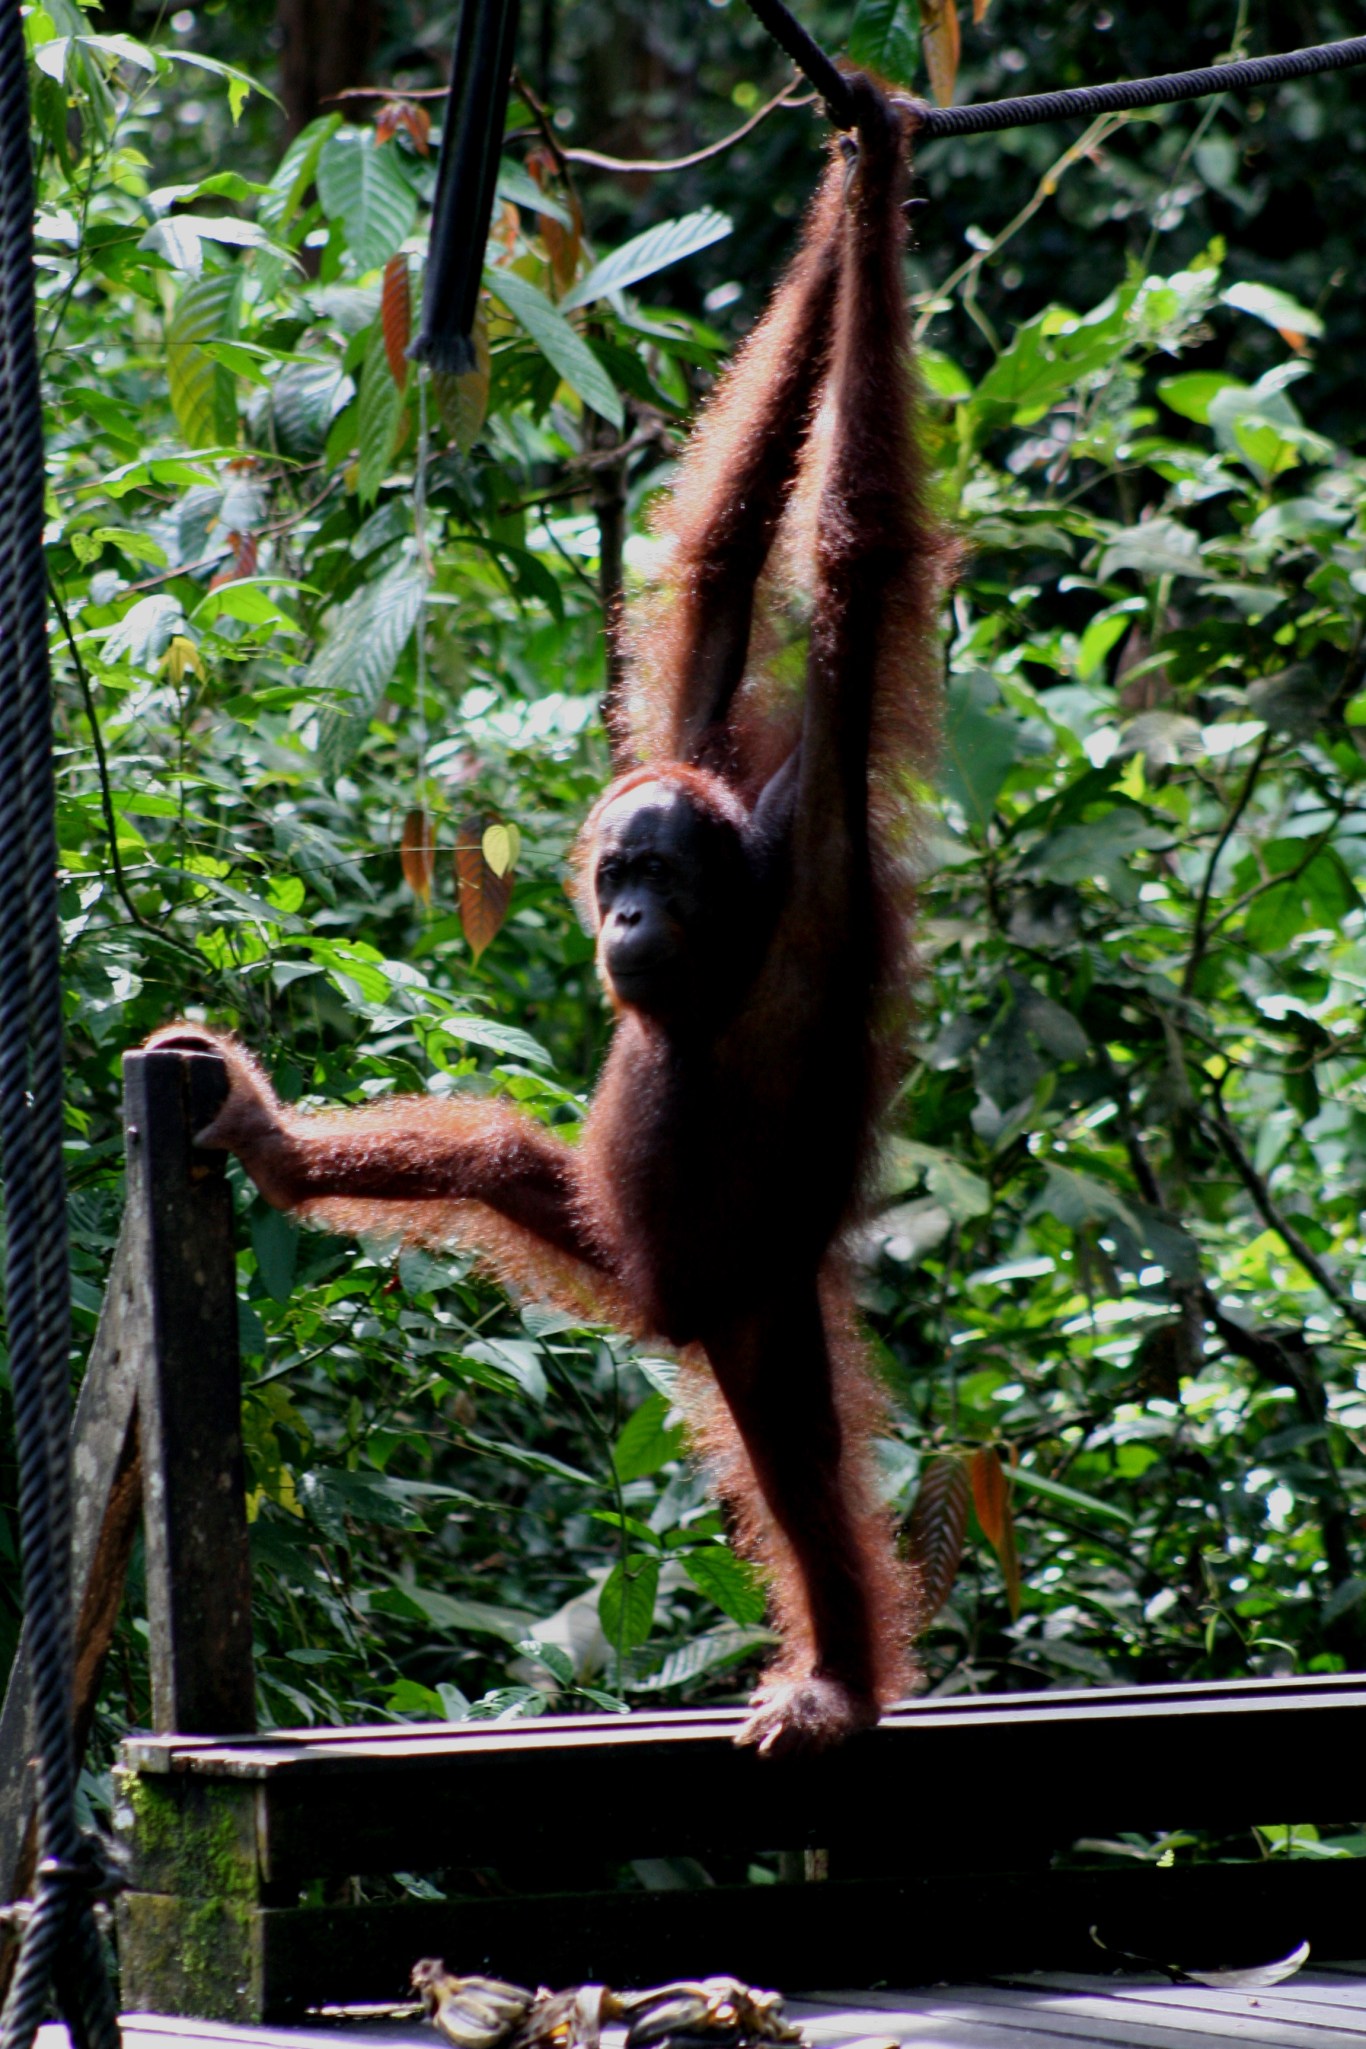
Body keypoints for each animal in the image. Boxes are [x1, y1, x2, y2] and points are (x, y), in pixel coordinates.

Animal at [149, 74, 950, 1755]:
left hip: (745, 1305)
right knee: (504, 1164)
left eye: (657, 885)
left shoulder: (815, 835)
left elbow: (849, 552)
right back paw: (272, 1140)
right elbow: (717, 566)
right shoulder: (706, 748)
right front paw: (851, 186)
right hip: (615, 1245)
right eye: (614, 877)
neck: (732, 938)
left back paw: (838, 1673)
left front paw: (877, 166)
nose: (622, 924)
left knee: (798, 1474)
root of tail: (664, 1308)